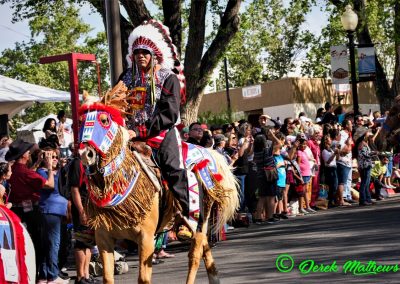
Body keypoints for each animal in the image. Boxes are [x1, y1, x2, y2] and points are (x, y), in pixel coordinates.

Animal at [78, 101, 239, 282]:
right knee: (205, 248)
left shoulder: (146, 237)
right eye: (81, 121)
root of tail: (208, 153)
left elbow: (143, 278)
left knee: (195, 255)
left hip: (200, 216)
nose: (85, 154)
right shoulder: (103, 238)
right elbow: (108, 277)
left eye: (104, 120)